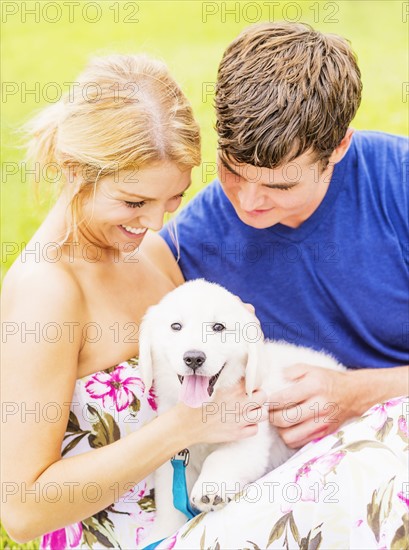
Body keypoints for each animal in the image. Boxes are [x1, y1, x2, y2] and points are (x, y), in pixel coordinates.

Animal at [138, 282, 344, 544]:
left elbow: (221, 457)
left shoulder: (251, 437)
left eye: (218, 327)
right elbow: (169, 503)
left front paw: (211, 488)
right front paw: (161, 535)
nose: (194, 358)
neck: (205, 409)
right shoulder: (173, 458)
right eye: (176, 326)